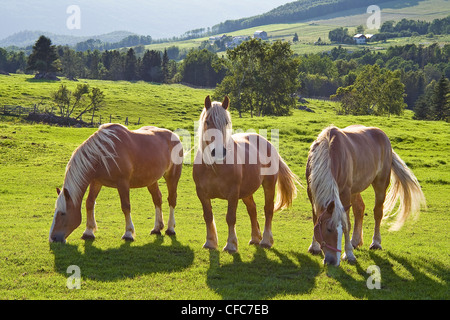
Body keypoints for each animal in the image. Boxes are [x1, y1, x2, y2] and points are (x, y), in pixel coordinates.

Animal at [49, 123, 183, 242]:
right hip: (151, 180)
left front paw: (128, 233)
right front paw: (88, 231)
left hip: (172, 176)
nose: (52, 238)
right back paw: (157, 228)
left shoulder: (122, 183)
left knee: (172, 199)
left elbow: (126, 206)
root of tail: (174, 136)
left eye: (63, 213)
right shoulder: (96, 182)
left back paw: (170, 228)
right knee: (157, 199)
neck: (101, 153)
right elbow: (89, 203)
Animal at [192, 96, 300, 254]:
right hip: (246, 192)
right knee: (252, 210)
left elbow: (230, 217)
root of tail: (268, 144)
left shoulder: (233, 193)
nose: (219, 151)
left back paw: (265, 240)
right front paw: (210, 242)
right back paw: (255, 238)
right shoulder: (202, 193)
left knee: (268, 210)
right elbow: (208, 216)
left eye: (226, 122)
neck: (215, 167)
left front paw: (231, 244)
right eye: (207, 121)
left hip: (268, 185)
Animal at [306, 124, 426, 264]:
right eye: (329, 229)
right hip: (355, 190)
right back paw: (355, 241)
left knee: (378, 212)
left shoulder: (345, 193)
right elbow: (316, 218)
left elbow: (347, 223)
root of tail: (383, 136)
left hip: (380, 184)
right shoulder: (311, 192)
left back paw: (376, 243)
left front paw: (349, 254)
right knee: (359, 209)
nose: (332, 261)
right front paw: (314, 247)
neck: (329, 152)